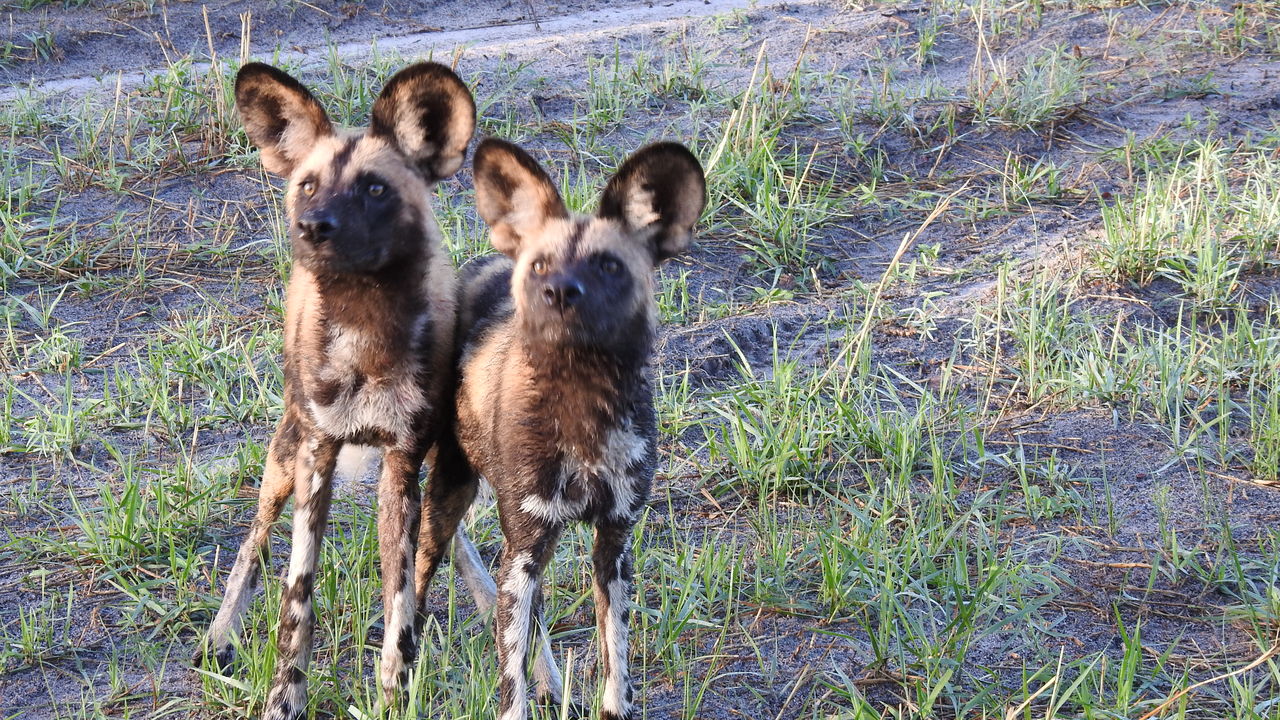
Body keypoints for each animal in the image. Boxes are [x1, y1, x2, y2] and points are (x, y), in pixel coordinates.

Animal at [197, 63, 478, 717]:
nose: (312, 227)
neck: (365, 329)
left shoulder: (403, 466)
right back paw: (220, 637)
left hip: (434, 466)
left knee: (448, 548)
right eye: (307, 185)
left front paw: (394, 693)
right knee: (254, 539)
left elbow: (400, 604)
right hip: (284, 455)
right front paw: (284, 698)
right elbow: (296, 600)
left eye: (374, 189)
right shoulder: (316, 455)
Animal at [412, 135, 706, 717]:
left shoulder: (613, 546)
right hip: (455, 502)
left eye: (609, 265)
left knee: (530, 618)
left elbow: (616, 662)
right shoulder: (524, 545)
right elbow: (511, 688)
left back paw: (549, 679)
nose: (559, 292)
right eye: (541, 264)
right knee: (419, 576)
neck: (582, 404)